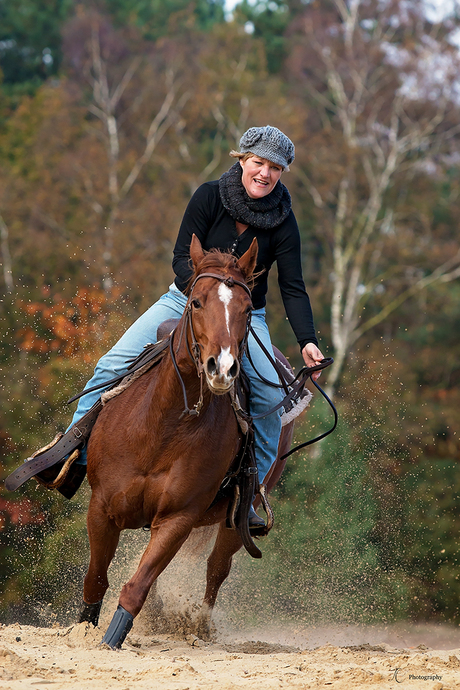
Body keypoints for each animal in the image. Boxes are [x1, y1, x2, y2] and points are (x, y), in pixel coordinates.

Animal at [77, 234, 296, 648]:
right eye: (196, 302)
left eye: (247, 309)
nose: (222, 368)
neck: (161, 428)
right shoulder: (102, 507)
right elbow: (96, 579)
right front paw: (84, 629)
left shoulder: (178, 518)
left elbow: (137, 586)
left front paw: (114, 637)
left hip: (234, 522)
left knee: (216, 569)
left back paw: (199, 625)